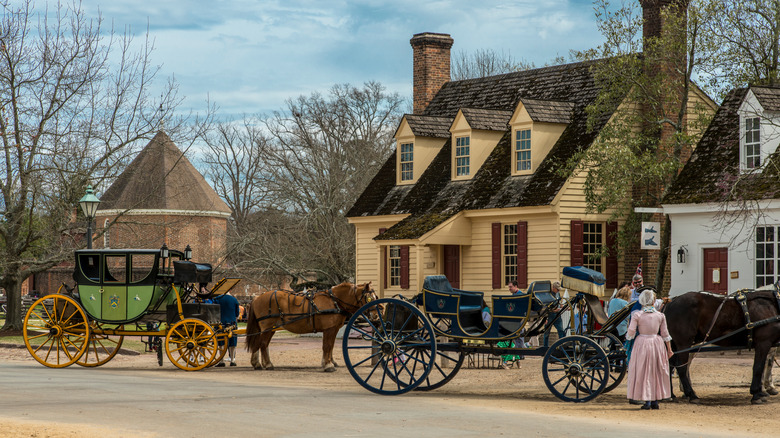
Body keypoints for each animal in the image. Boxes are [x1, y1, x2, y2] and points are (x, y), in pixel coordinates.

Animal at [245, 282, 376, 372]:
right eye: (370, 298)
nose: (375, 314)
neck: (334, 301)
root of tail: (257, 297)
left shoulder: (333, 329)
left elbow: (330, 346)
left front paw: (328, 363)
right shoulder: (329, 329)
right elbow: (327, 346)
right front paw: (328, 365)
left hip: (270, 328)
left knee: (259, 344)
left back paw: (257, 364)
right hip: (267, 327)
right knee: (262, 344)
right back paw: (267, 364)